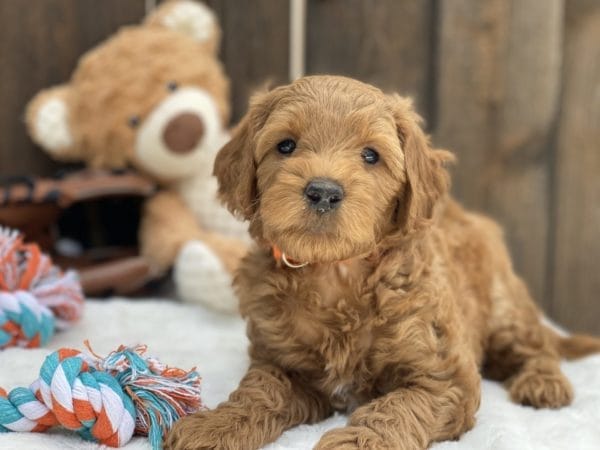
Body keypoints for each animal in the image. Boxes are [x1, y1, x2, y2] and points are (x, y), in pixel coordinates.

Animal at [164, 76, 600, 450]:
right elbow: (260, 393)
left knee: (536, 345)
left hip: (503, 306)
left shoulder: (443, 376)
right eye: (285, 146)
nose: (323, 191)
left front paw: (356, 442)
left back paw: (543, 383)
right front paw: (215, 425)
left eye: (371, 155)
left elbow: (398, 407)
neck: (336, 273)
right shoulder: (280, 362)